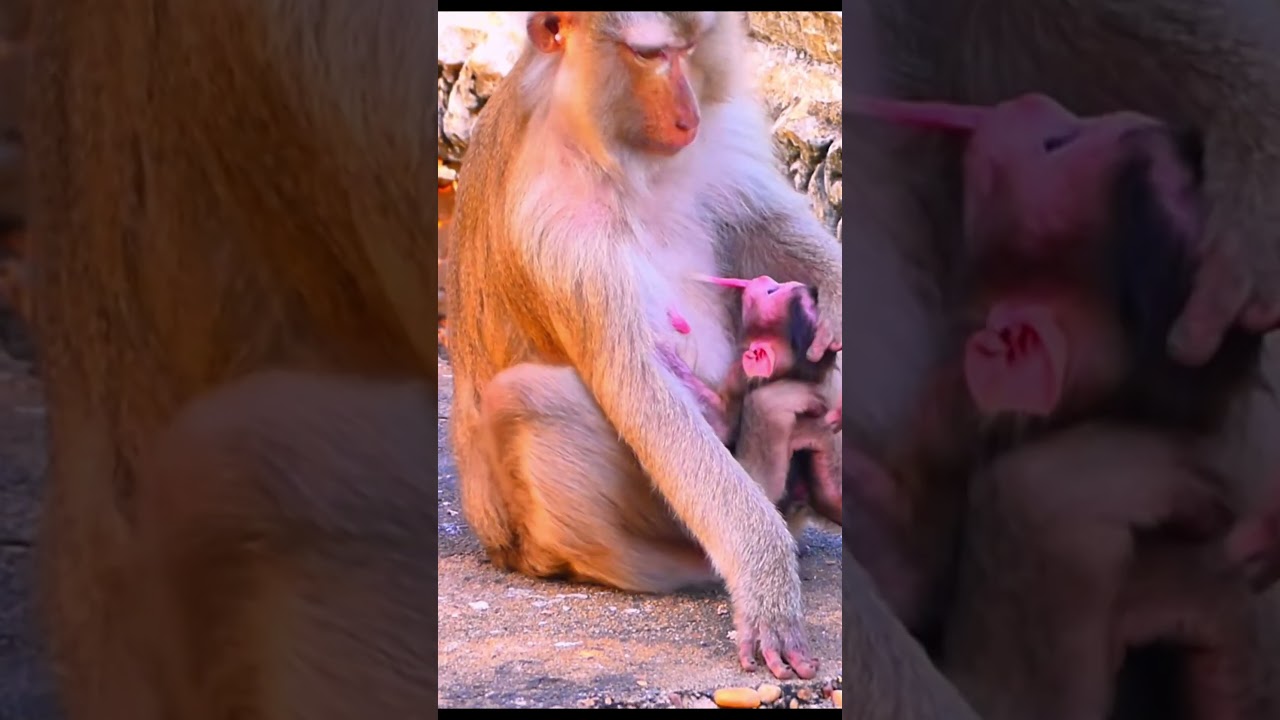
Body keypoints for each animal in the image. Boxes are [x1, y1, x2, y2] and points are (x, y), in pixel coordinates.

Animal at [447, 12, 844, 681]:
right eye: (649, 54)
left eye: (691, 47)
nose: (687, 116)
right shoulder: (558, 231)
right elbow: (646, 395)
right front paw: (765, 582)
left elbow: (764, 226)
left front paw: (835, 293)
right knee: (529, 397)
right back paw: (685, 558)